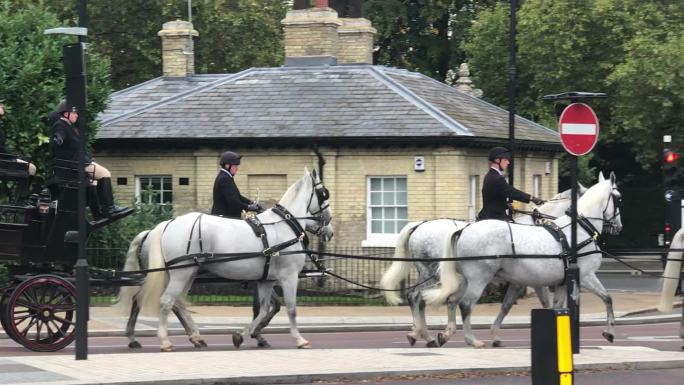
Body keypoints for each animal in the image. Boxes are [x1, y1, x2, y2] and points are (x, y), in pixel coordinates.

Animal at [120, 169, 334, 352]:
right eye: (324, 193)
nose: (329, 229)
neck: (283, 225)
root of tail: (165, 225)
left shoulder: (266, 280)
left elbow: (265, 309)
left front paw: (242, 335)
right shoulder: (289, 277)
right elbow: (290, 309)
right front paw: (299, 339)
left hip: (186, 274)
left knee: (169, 301)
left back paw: (191, 337)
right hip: (180, 273)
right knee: (166, 301)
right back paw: (164, 340)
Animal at [380, 184, 588, 346]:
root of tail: (419, 226)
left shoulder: (521, 280)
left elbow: (507, 304)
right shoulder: (533, 280)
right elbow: (541, 303)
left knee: (419, 298)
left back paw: (420, 333)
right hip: (430, 272)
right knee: (417, 297)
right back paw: (423, 334)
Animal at [424, 172, 624, 346]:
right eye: (619, 198)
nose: (619, 226)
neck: (578, 230)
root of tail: (463, 229)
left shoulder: (557, 282)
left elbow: (547, 307)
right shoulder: (585, 277)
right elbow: (607, 298)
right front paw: (610, 332)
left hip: (465, 279)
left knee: (452, 300)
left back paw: (446, 333)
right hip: (478, 279)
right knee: (465, 305)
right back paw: (471, 340)